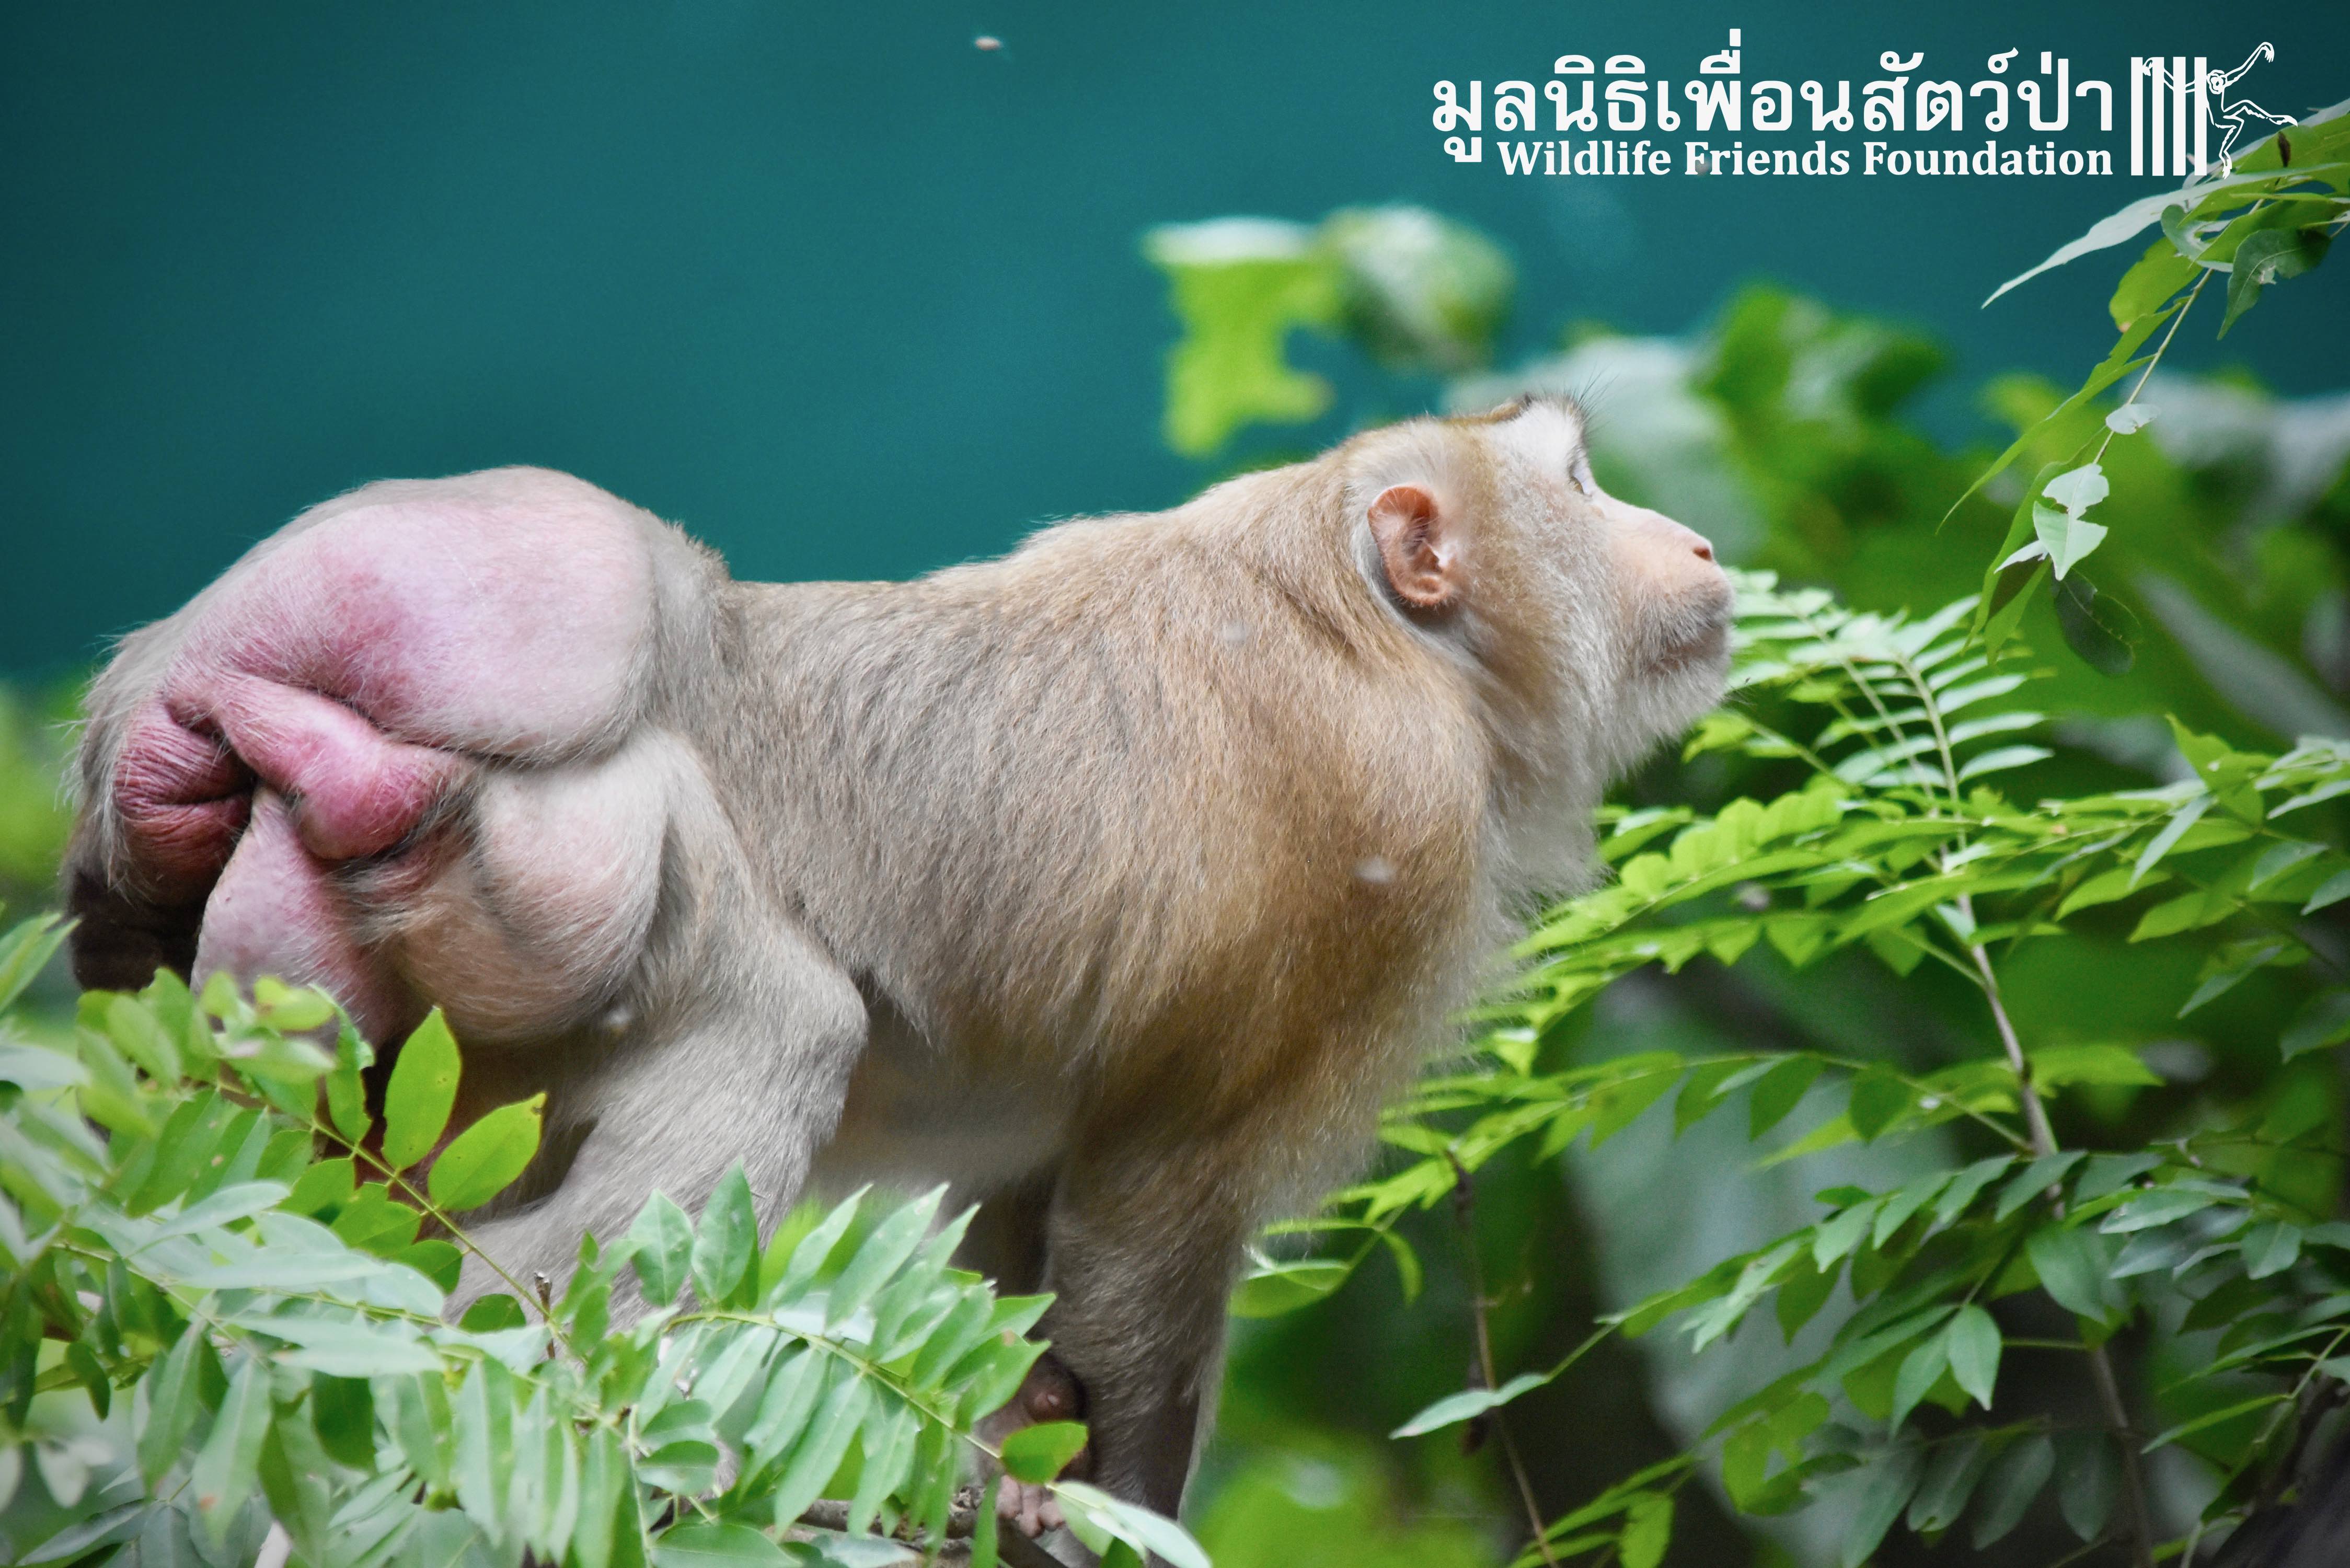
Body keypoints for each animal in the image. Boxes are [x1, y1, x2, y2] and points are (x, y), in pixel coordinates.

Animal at [62, 396, 1732, 1548]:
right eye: (1584, 488)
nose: (1703, 543)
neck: (1379, 634)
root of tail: (192, 694)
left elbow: (1040, 1207)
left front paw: (1023, 1450)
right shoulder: (1383, 833)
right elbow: (1152, 1200)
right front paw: (1112, 1513)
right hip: (529, 861)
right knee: (774, 1024)